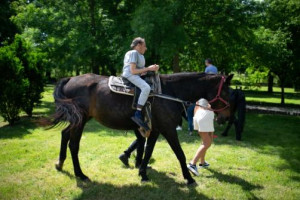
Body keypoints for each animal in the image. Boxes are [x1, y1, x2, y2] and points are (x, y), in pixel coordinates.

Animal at [48, 72, 232, 184]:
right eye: (225, 93)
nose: (226, 117)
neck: (169, 93)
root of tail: (70, 79)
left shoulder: (155, 130)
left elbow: (147, 151)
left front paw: (142, 173)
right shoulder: (168, 129)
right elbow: (179, 153)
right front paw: (188, 178)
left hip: (78, 120)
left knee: (65, 134)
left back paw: (60, 163)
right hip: (80, 121)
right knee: (74, 145)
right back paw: (80, 174)